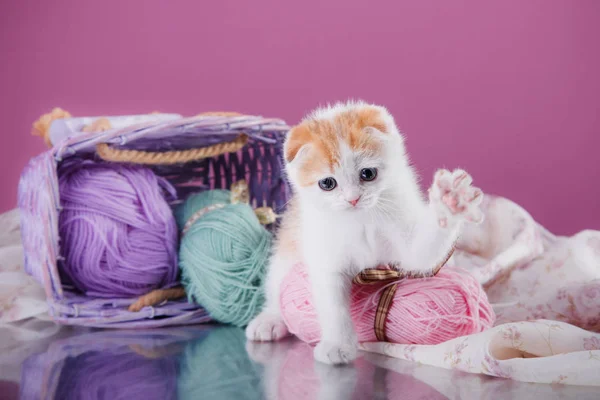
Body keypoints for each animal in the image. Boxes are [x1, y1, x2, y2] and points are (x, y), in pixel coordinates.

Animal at [244, 101, 482, 366]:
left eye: (368, 174)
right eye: (327, 183)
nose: (353, 199)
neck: (361, 220)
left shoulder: (407, 240)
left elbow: (421, 253)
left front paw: (450, 202)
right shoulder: (325, 257)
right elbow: (333, 306)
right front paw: (337, 344)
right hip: (286, 253)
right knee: (277, 284)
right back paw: (270, 320)